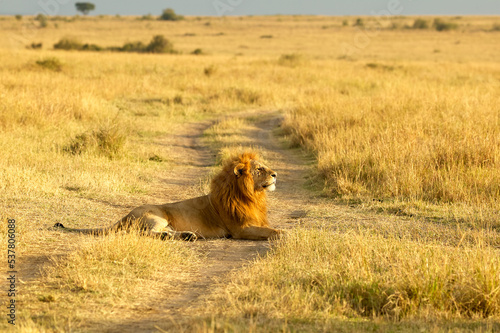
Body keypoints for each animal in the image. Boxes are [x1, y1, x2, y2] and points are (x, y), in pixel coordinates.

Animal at [55, 152, 282, 240]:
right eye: (259, 169)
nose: (275, 174)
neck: (252, 195)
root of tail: (125, 215)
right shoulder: (239, 229)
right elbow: (272, 231)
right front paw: (286, 234)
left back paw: (188, 236)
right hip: (156, 216)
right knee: (145, 234)